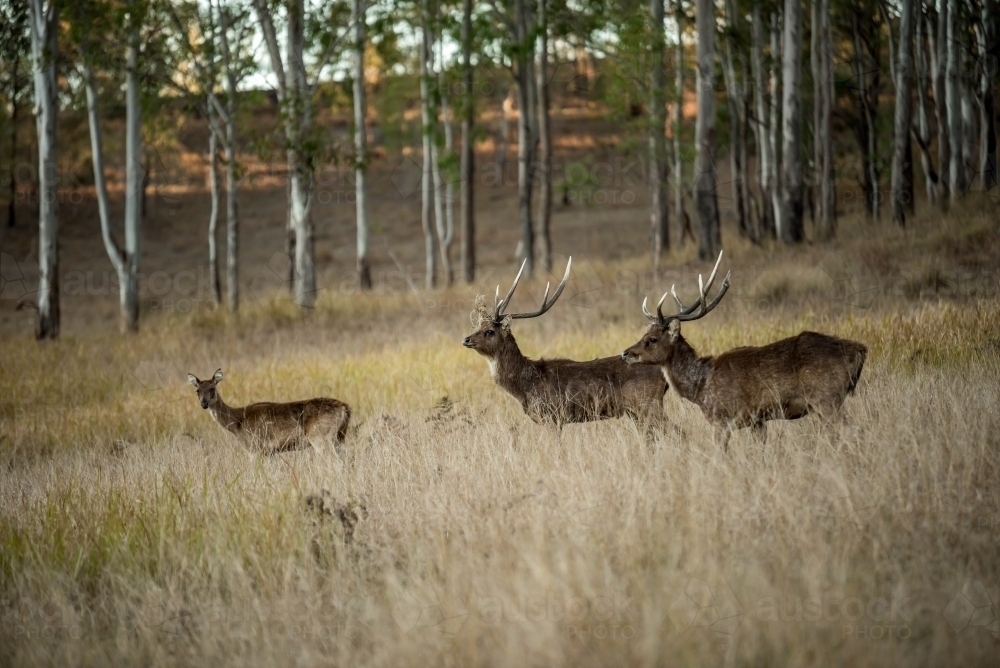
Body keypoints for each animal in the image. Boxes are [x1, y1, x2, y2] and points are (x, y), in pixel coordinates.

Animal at [187, 368, 352, 456]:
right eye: (197, 390)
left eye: (212, 389)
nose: (204, 403)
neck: (237, 423)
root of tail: (345, 407)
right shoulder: (269, 452)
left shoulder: (254, 448)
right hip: (340, 437)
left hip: (320, 436)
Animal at [460, 258, 672, 438]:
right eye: (478, 326)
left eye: (490, 331)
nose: (466, 339)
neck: (524, 388)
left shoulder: (553, 415)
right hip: (636, 410)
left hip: (648, 402)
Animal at [620, 253, 872, 452]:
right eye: (644, 333)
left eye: (651, 340)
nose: (626, 353)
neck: (700, 388)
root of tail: (860, 349)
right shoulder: (758, 419)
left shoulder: (722, 418)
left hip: (826, 396)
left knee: (854, 432)